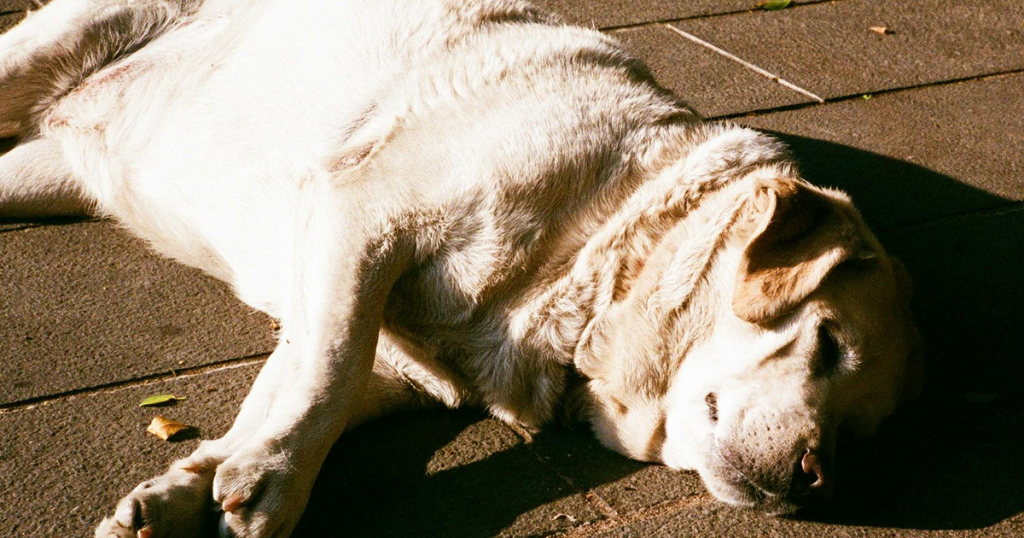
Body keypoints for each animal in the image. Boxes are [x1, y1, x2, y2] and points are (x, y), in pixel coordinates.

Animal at [0, 1, 923, 537]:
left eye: (862, 433)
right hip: (50, 45)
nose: (817, 482)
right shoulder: (362, 215)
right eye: (827, 343)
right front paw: (272, 484)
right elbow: (326, 373)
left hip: (41, 174)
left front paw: (198, 487)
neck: (593, 251)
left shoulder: (378, 341)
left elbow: (291, 389)